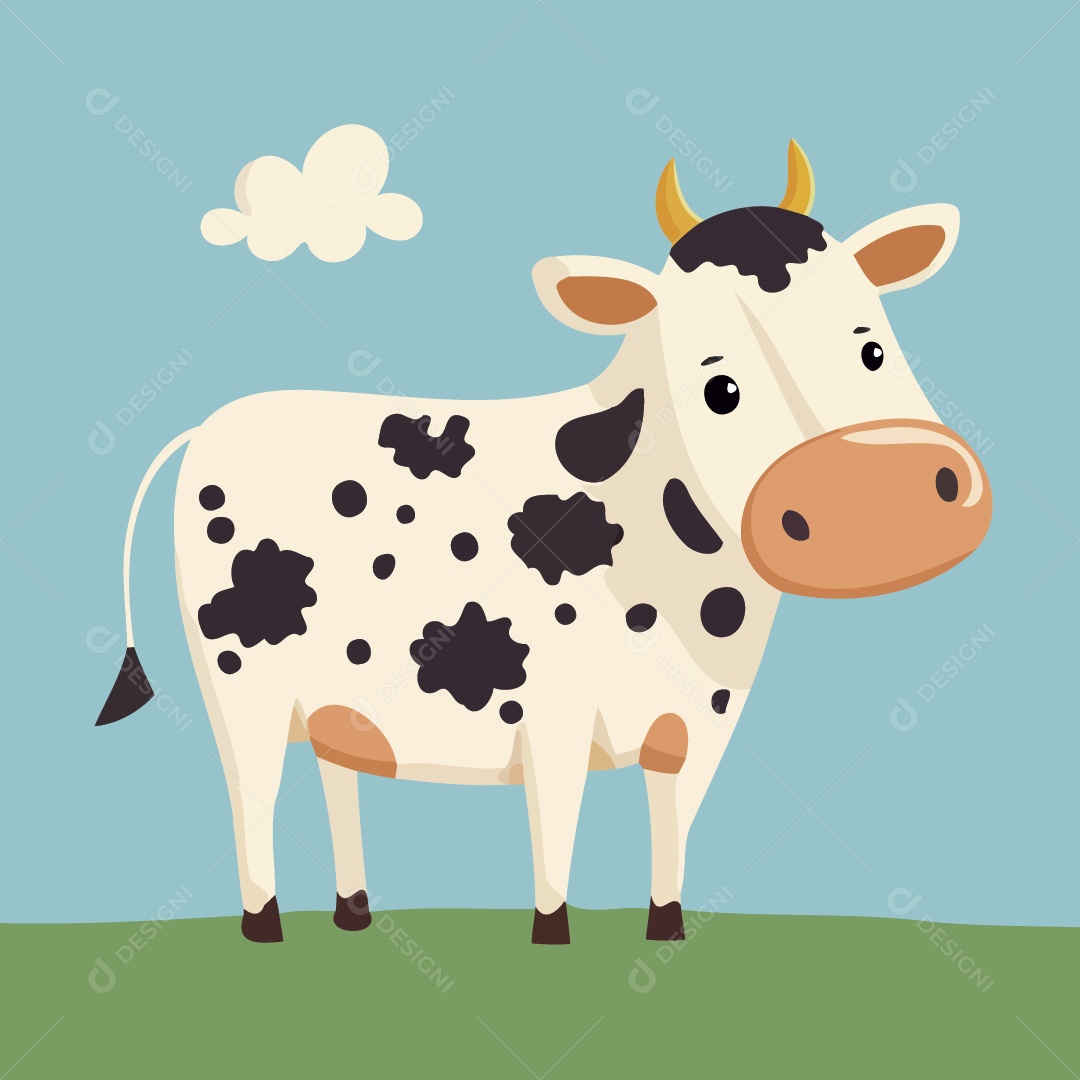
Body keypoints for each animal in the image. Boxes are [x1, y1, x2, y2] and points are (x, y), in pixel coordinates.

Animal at [95, 142, 991, 945]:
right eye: (719, 386)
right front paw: (552, 931)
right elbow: (557, 820)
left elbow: (673, 822)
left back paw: (354, 913)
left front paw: (666, 928)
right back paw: (265, 925)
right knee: (254, 794)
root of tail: (212, 423)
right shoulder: (553, 710)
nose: (872, 491)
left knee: (335, 776)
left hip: (329, 693)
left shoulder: (701, 725)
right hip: (240, 686)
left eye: (871, 345)